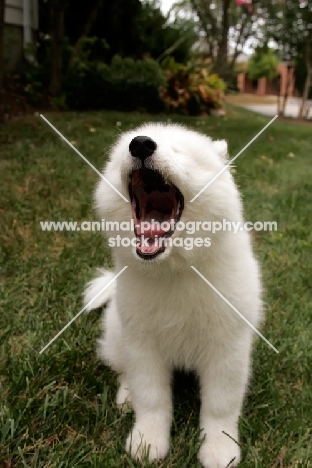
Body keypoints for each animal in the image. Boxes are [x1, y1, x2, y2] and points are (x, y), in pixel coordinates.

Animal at [84, 123, 262, 468]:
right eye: (126, 148)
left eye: (180, 152)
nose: (140, 144)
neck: (175, 270)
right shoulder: (142, 344)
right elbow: (151, 398)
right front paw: (146, 442)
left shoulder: (228, 347)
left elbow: (220, 405)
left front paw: (220, 449)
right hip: (117, 334)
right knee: (124, 371)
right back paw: (126, 396)